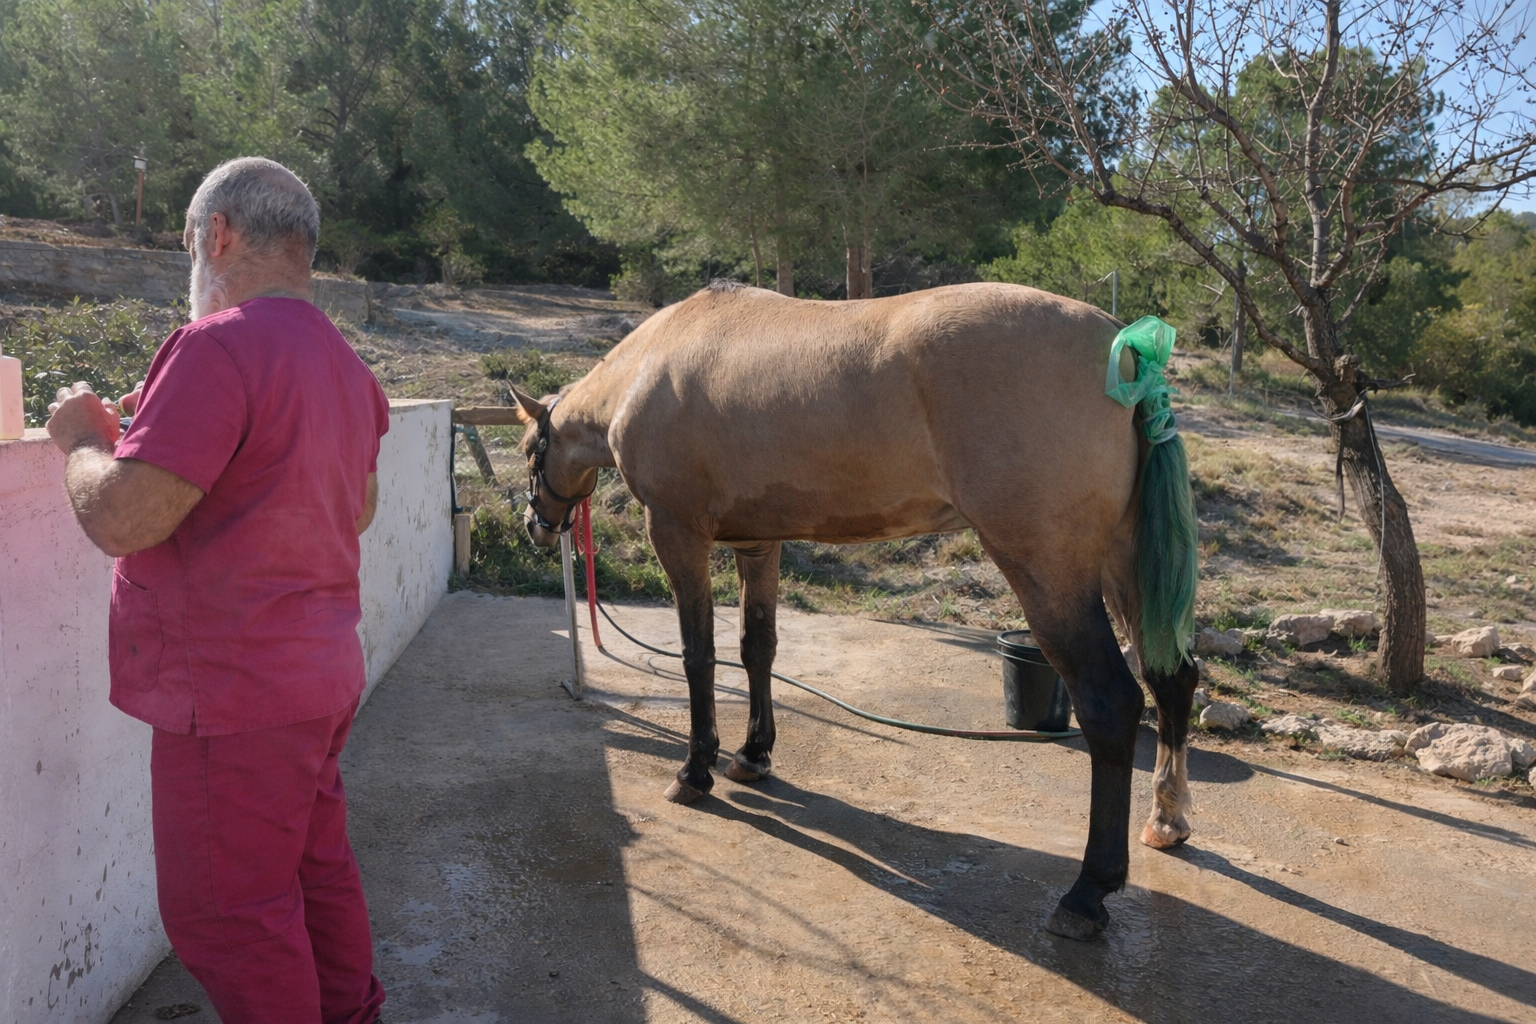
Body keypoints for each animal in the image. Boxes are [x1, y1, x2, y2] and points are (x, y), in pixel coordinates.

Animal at [509, 280, 1200, 940]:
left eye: (526, 450)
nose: (536, 527)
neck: (652, 365)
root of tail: (1124, 344)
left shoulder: (677, 535)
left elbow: (699, 656)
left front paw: (696, 769)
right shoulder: (758, 543)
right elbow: (757, 649)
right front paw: (753, 755)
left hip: (1050, 570)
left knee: (1111, 704)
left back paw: (1087, 894)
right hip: (1124, 564)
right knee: (1172, 678)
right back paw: (1167, 819)